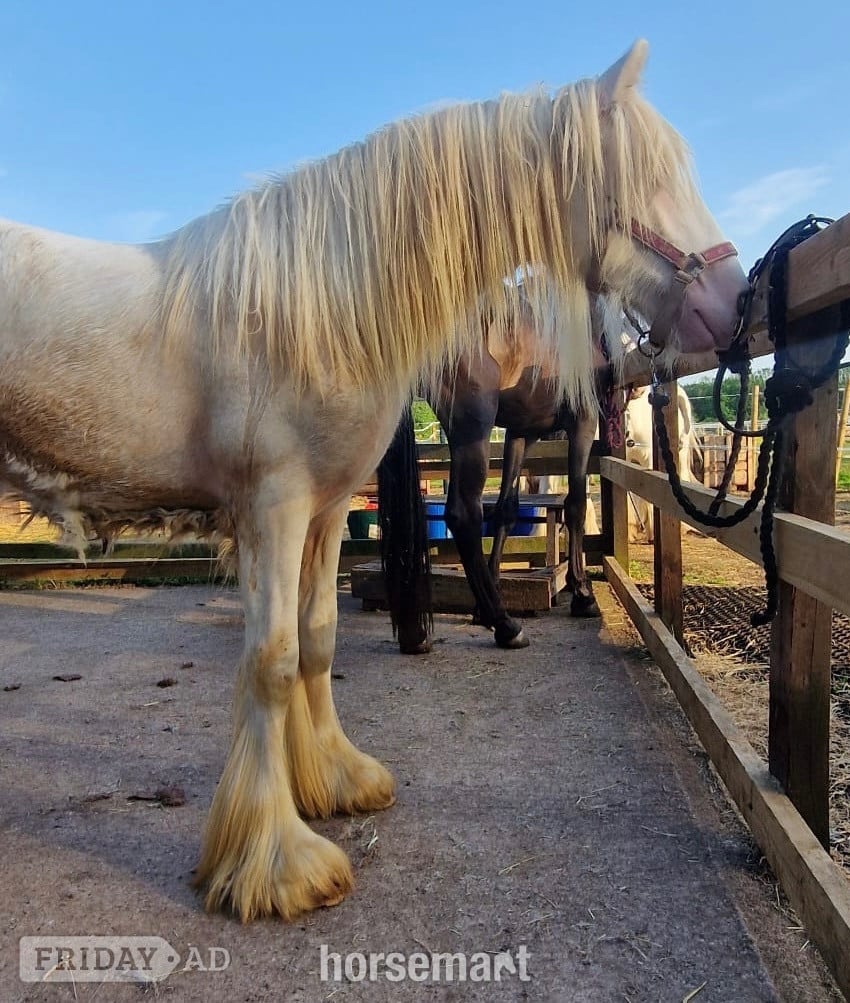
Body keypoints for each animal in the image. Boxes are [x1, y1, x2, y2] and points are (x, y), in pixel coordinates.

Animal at [0, 40, 746, 921]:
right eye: (644, 177)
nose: (734, 301)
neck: (312, 307)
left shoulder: (322, 515)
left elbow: (318, 642)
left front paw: (335, 781)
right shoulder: (272, 509)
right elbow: (273, 660)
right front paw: (277, 864)